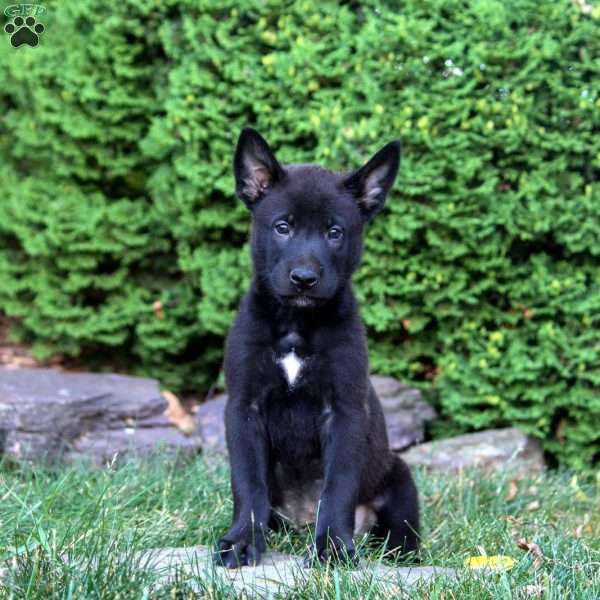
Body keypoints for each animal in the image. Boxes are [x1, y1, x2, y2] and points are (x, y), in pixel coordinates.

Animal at [214, 129, 418, 568]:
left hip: (399, 475)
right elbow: (248, 485)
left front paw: (333, 547)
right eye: (282, 227)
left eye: (334, 232)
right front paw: (242, 542)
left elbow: (337, 486)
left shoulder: (344, 411)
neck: (296, 324)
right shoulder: (243, 408)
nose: (304, 278)